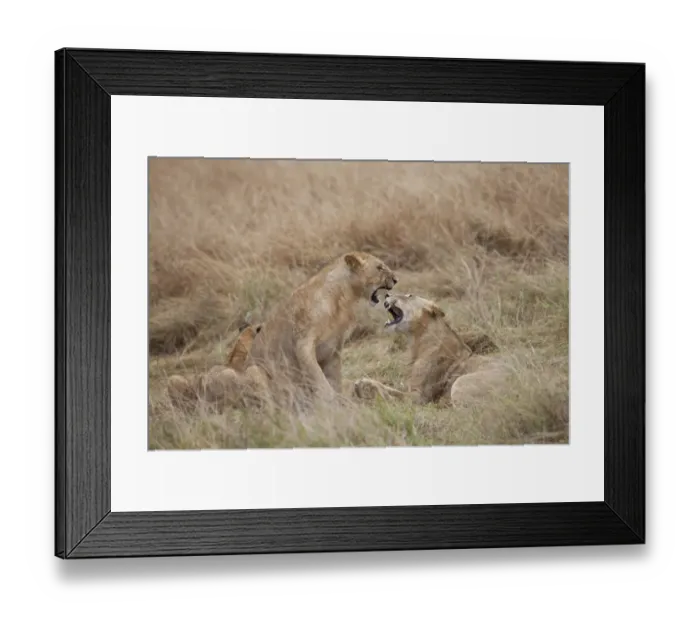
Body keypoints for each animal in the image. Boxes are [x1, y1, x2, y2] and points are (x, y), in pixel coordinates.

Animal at [353, 293, 505, 407]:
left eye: (409, 295)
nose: (387, 295)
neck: (416, 340)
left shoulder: (417, 396)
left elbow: (395, 396)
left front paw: (365, 388)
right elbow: (391, 388)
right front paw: (363, 383)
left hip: (460, 383)